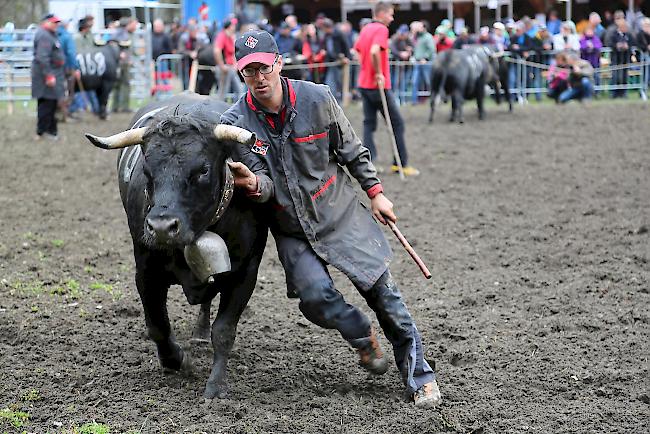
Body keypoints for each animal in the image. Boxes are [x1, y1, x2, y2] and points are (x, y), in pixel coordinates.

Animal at [86, 93, 268, 398]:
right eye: (147, 169)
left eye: (202, 170)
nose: (161, 228)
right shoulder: (146, 272)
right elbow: (158, 326)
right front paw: (179, 361)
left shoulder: (245, 273)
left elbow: (224, 331)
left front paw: (216, 386)